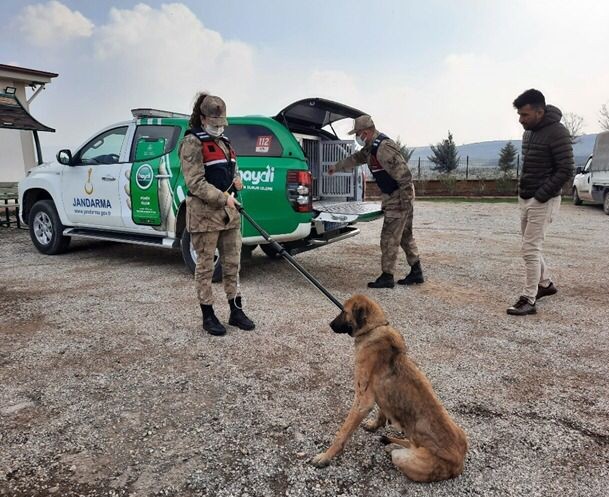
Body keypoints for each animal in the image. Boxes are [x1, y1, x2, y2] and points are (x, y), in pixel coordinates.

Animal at [312, 294, 468, 480]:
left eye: (344, 311)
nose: (330, 324)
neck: (373, 329)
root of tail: (459, 464)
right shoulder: (380, 394)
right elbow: (382, 411)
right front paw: (375, 425)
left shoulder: (362, 400)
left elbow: (342, 433)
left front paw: (326, 456)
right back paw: (389, 442)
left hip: (403, 458)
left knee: (404, 451)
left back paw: (392, 446)